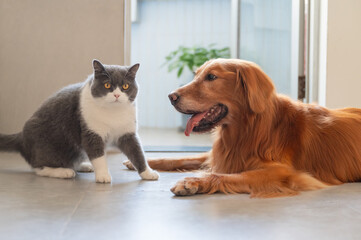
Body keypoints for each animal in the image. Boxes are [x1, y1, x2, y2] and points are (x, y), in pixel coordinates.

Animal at [0, 59, 159, 183]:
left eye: (125, 86)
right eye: (107, 85)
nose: (117, 95)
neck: (113, 113)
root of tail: (21, 136)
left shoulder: (127, 133)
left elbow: (137, 152)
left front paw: (147, 173)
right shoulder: (90, 132)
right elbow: (98, 155)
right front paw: (103, 176)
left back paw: (84, 165)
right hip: (46, 146)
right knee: (39, 166)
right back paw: (63, 171)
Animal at [124, 59, 360, 198]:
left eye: (211, 77)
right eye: (197, 74)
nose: (171, 96)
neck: (249, 129)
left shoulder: (285, 173)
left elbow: (229, 176)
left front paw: (193, 182)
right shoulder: (221, 155)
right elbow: (181, 158)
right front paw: (143, 163)